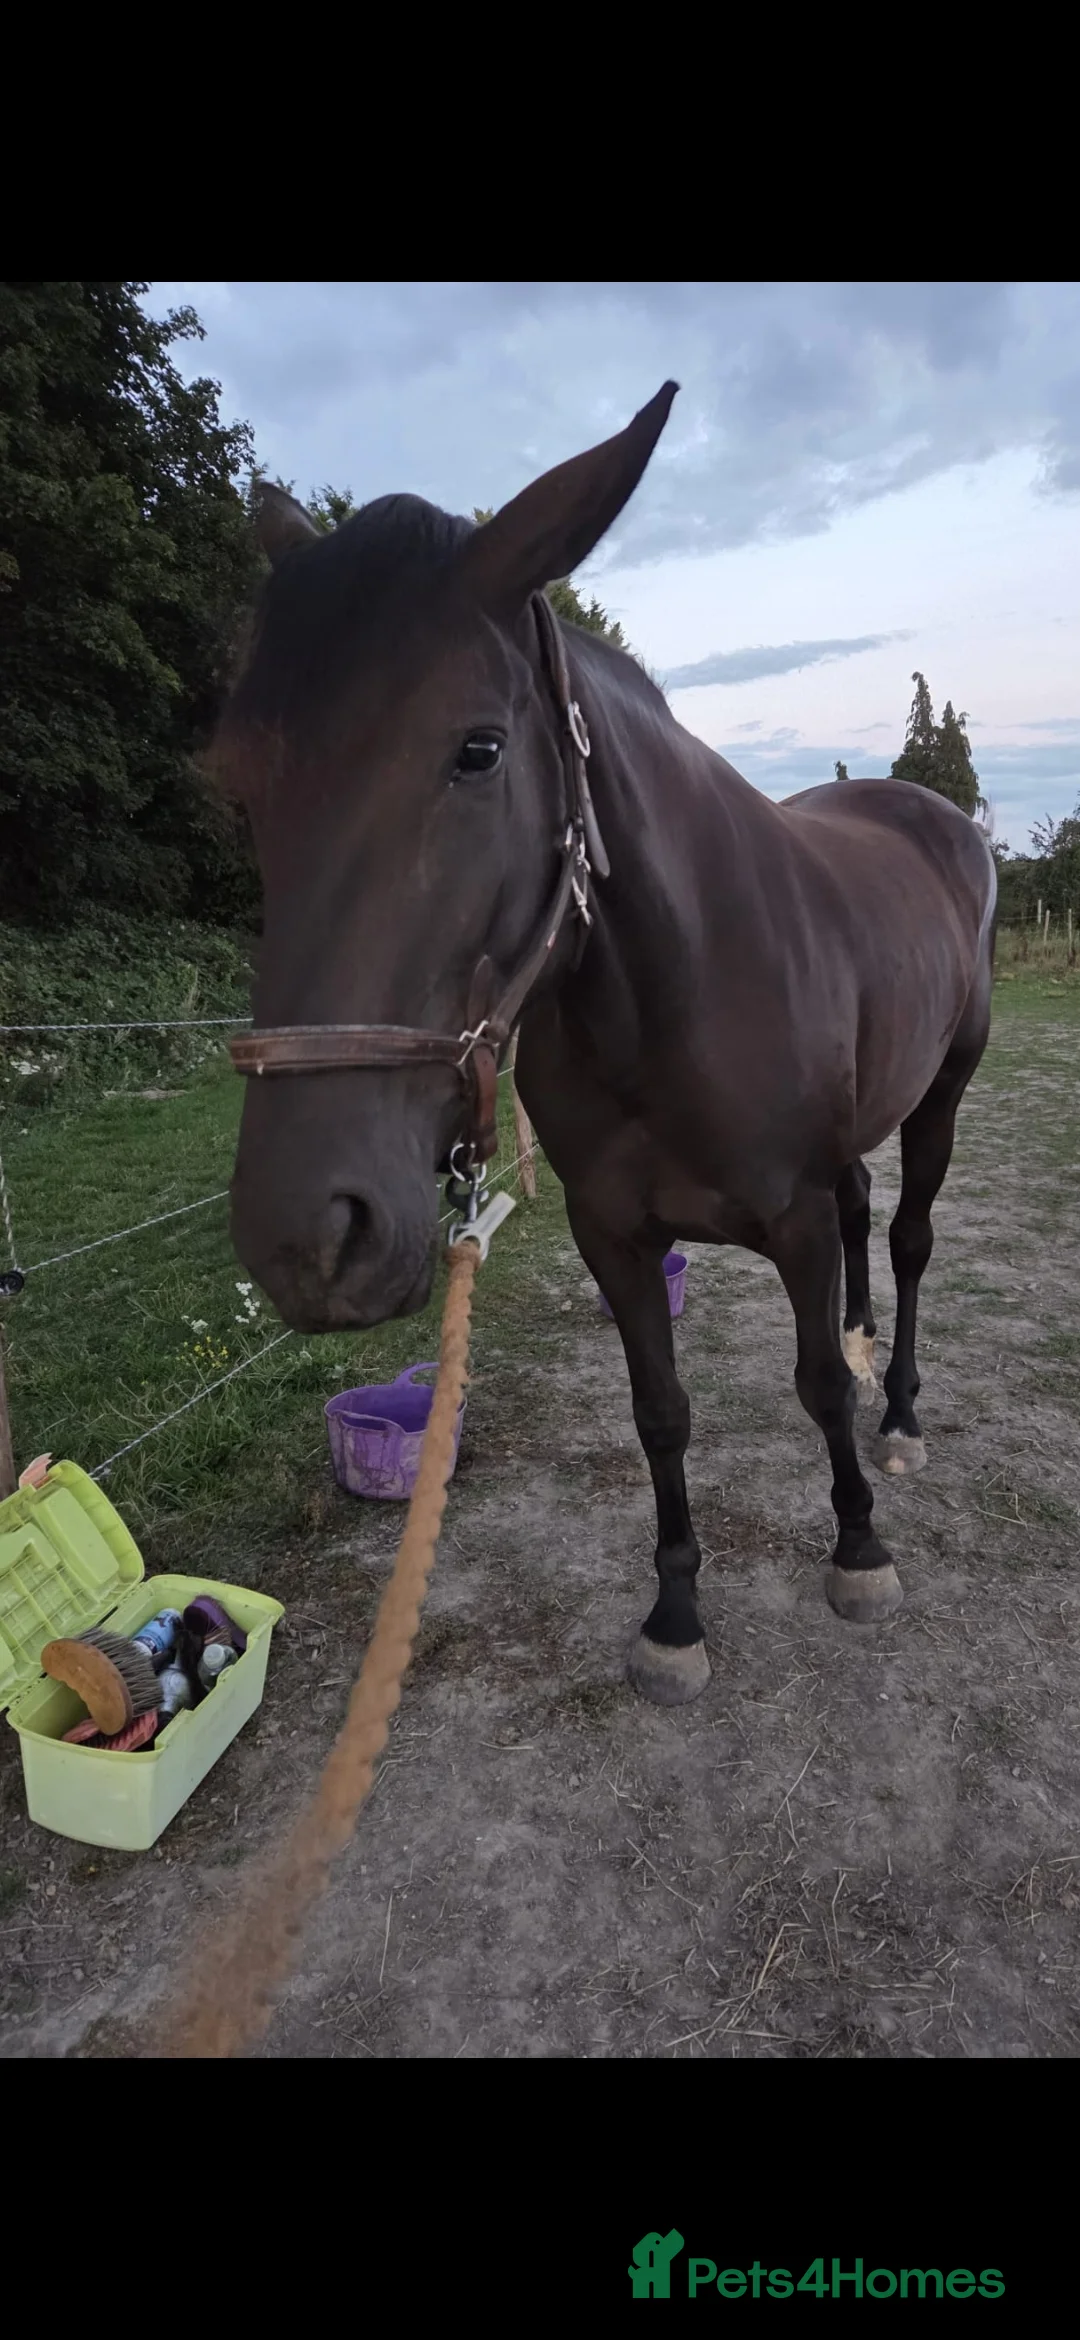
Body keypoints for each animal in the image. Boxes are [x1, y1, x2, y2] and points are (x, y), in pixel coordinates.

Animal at [215, 382, 996, 1708]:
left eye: (479, 748)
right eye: (242, 779)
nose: (307, 1236)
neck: (674, 994)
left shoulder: (787, 1218)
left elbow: (815, 1387)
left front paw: (857, 1547)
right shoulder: (612, 1232)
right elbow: (659, 1410)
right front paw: (674, 1614)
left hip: (942, 1092)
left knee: (906, 1240)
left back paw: (899, 1416)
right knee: (865, 1219)